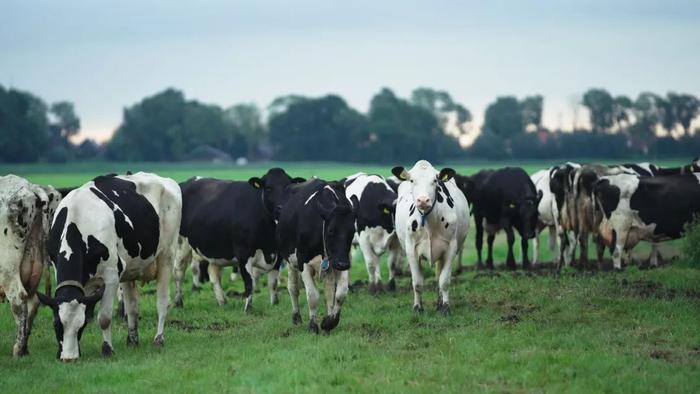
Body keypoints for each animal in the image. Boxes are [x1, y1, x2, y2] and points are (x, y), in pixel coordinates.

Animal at [0, 175, 60, 358]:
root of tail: (32, 187)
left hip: (7, 269)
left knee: (19, 299)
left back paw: (18, 349)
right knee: (33, 302)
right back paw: (24, 347)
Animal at [37, 172, 182, 360]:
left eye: (80, 326)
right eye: (56, 324)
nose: (69, 358)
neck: (78, 218)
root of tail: (164, 179)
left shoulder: (112, 274)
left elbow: (104, 318)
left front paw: (107, 349)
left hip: (167, 256)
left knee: (162, 302)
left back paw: (158, 339)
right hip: (130, 269)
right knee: (132, 307)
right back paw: (132, 341)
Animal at [174, 169, 304, 310]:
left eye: (288, 187)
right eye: (269, 188)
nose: (282, 208)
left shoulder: (278, 255)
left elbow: (273, 282)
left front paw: (274, 303)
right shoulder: (243, 253)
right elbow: (249, 283)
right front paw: (248, 308)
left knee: (214, 274)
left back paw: (222, 301)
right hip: (181, 243)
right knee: (179, 270)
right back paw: (178, 302)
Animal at [276, 180, 358, 334]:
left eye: (352, 232)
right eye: (331, 231)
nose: (343, 264)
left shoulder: (340, 259)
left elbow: (340, 293)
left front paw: (329, 322)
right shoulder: (303, 262)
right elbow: (313, 296)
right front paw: (313, 326)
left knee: (329, 291)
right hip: (291, 261)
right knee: (293, 288)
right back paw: (296, 317)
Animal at [392, 160, 468, 314]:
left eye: (435, 180)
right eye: (412, 180)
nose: (423, 200)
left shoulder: (451, 248)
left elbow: (444, 281)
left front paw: (445, 307)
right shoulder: (411, 249)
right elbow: (417, 282)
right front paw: (417, 307)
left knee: (438, 276)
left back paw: (439, 304)